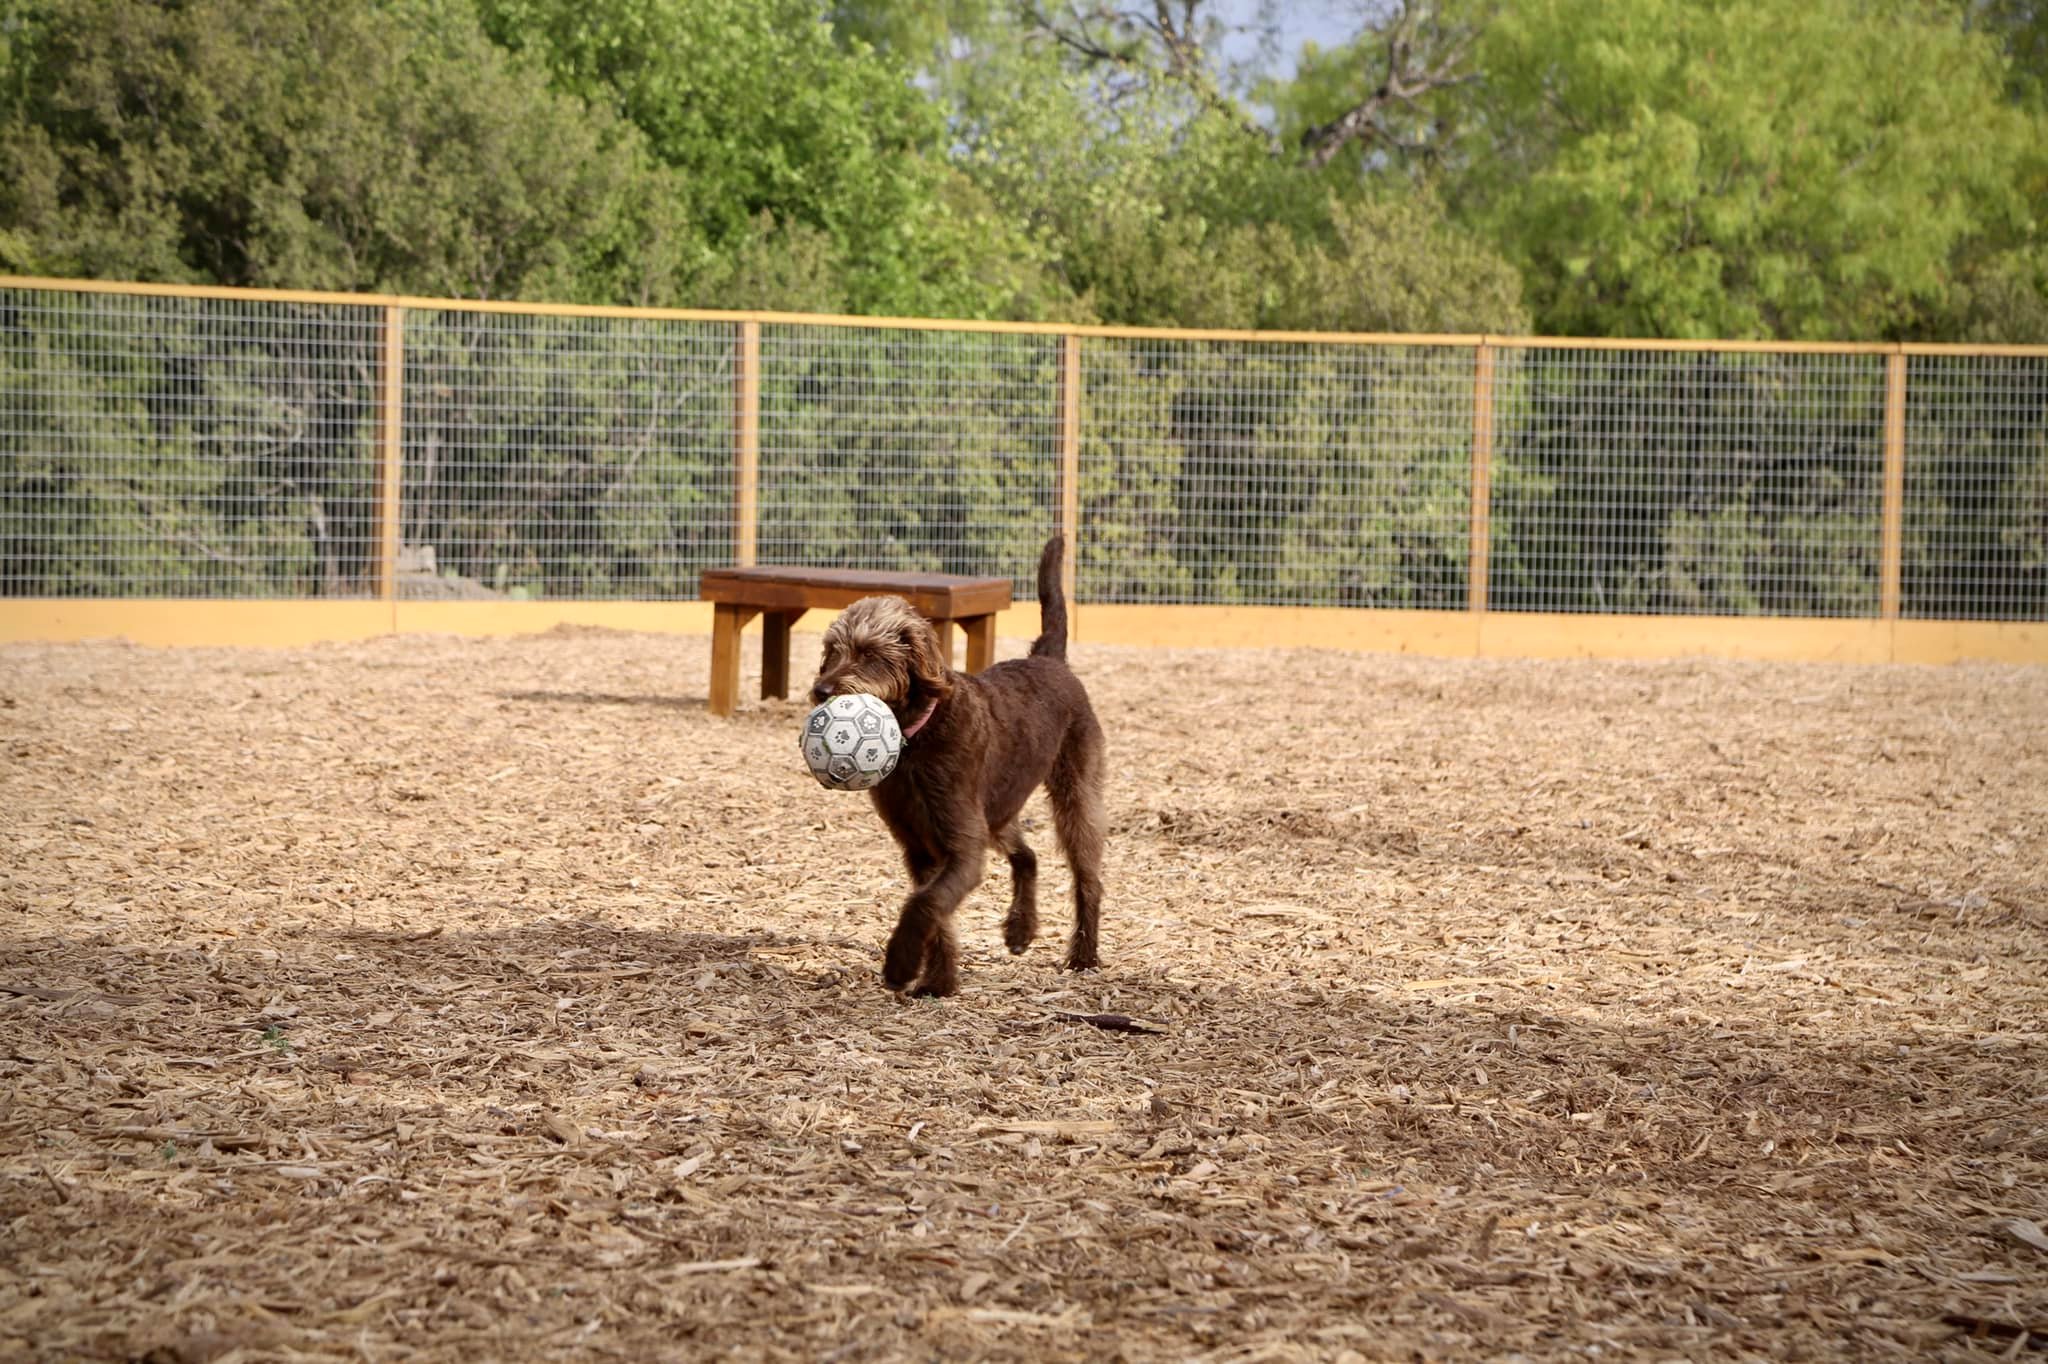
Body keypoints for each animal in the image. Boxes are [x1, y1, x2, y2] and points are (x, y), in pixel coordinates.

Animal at [806, 536, 1114, 995]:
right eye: (832, 650)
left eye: (870, 654)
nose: (821, 690)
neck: (916, 739)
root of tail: (1049, 659)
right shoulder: (920, 847)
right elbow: (938, 914)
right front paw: (939, 981)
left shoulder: (961, 845)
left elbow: (925, 904)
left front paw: (901, 964)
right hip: (999, 809)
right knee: (1027, 856)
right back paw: (1020, 929)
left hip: (1074, 798)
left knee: (1087, 877)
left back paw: (1084, 955)